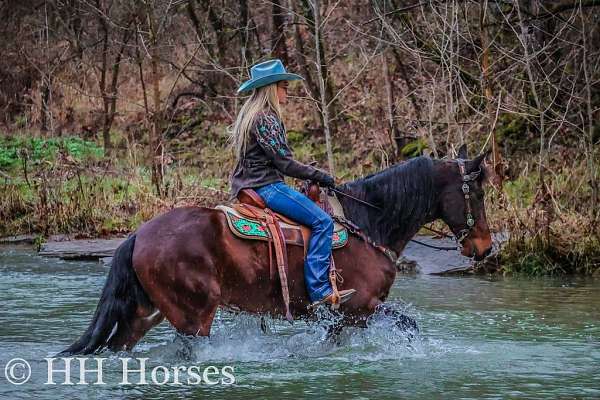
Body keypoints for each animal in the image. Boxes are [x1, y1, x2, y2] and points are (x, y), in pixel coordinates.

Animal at [59, 152, 492, 354]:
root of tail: (137, 235)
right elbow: (408, 325)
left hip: (145, 313)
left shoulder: (345, 318)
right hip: (193, 315)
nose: (485, 248)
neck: (367, 224)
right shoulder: (359, 308)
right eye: (478, 193)